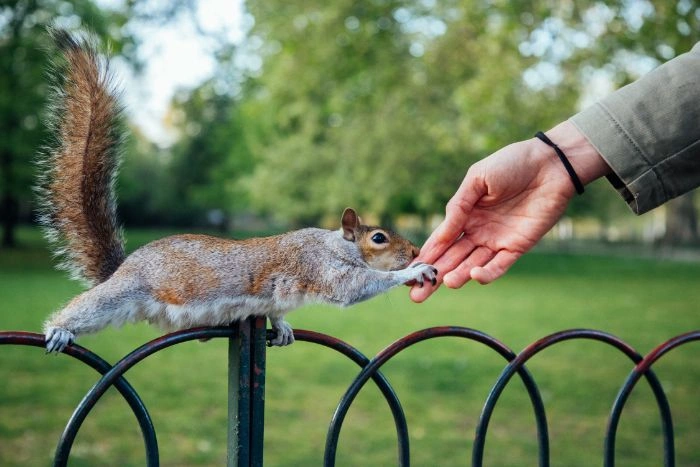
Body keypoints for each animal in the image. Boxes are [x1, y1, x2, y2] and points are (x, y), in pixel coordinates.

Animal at [38, 29, 438, 353]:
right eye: (379, 238)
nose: (414, 250)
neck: (335, 245)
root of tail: (120, 268)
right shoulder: (321, 268)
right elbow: (356, 287)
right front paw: (412, 271)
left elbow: (277, 311)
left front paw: (283, 326)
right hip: (122, 293)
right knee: (87, 307)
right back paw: (59, 329)